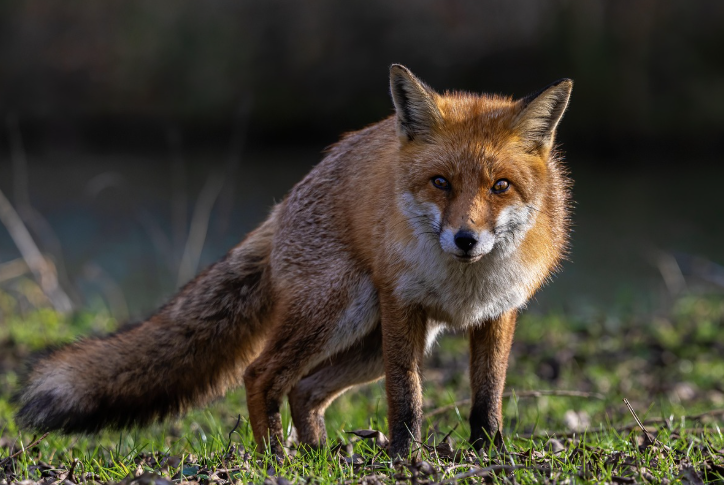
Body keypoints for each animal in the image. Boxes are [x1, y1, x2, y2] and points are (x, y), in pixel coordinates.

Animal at [16, 65, 572, 458]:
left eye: (500, 186)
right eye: (441, 182)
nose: (465, 239)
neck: (464, 285)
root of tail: (283, 203)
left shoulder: (499, 312)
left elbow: (487, 396)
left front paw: (489, 453)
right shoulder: (402, 305)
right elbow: (406, 395)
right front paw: (405, 456)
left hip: (368, 341)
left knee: (305, 388)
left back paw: (320, 454)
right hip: (341, 314)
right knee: (261, 374)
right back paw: (275, 458)